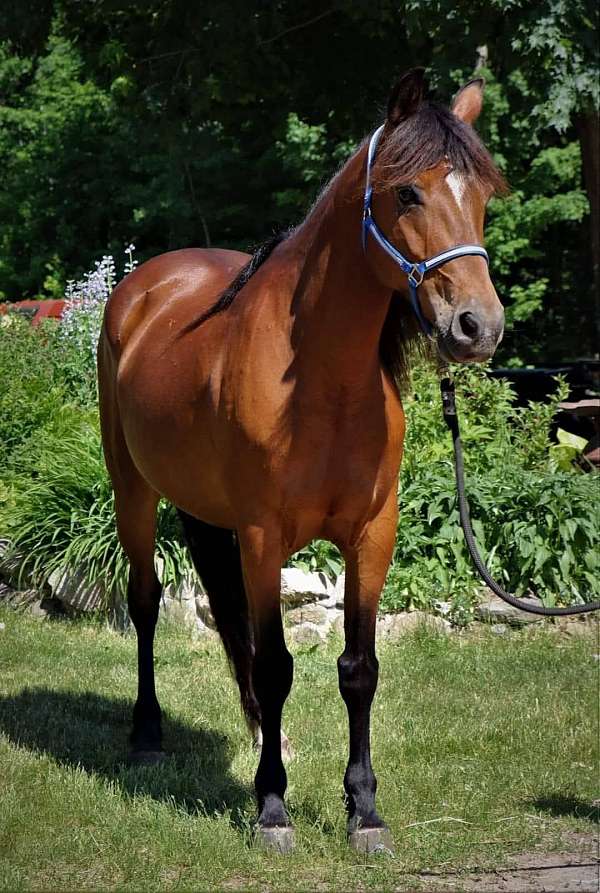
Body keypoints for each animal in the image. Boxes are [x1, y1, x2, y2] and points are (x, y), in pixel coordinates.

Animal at [98, 68, 506, 854]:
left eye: (481, 196)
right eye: (407, 193)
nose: (478, 326)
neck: (321, 380)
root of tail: (147, 285)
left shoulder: (372, 535)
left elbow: (358, 668)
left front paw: (364, 810)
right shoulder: (262, 538)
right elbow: (277, 665)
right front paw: (272, 809)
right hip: (132, 491)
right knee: (144, 603)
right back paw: (147, 735)